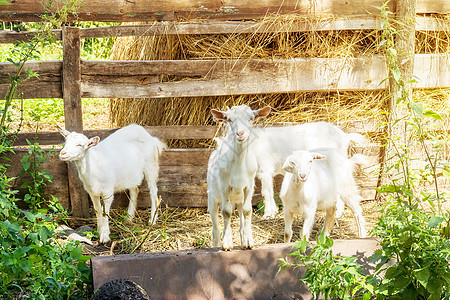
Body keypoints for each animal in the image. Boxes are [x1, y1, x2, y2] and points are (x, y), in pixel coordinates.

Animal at [208, 104, 270, 250]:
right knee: (215, 228)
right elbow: (226, 212)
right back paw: (217, 243)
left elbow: (248, 211)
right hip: (212, 198)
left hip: (239, 199)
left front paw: (249, 242)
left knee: (241, 221)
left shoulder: (249, 185)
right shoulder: (224, 185)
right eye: (230, 119)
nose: (240, 134)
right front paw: (227, 244)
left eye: (251, 118)